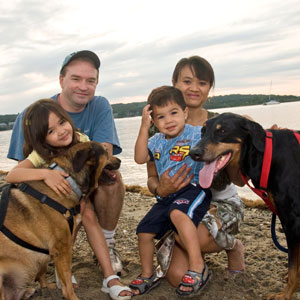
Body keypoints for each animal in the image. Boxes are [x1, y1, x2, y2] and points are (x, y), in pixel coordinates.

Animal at [0, 141, 120, 300]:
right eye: (106, 150)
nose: (120, 160)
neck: (69, 179)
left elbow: (52, 272)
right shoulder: (61, 247)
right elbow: (67, 280)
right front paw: (71, 296)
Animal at [191, 113, 300, 300]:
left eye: (222, 131)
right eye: (203, 131)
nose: (193, 153)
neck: (266, 157)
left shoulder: (293, 220)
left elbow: (293, 264)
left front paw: (286, 294)